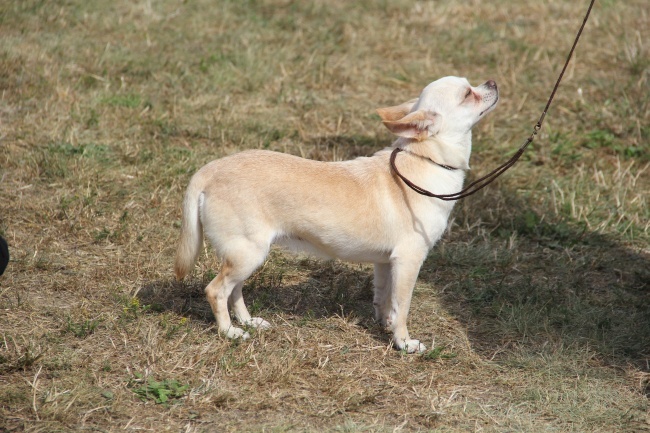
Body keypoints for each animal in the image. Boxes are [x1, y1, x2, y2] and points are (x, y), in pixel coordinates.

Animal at [172, 76, 496, 352]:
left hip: (247, 255)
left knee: (234, 290)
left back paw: (248, 321)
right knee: (216, 290)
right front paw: (404, 343)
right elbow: (402, 305)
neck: (424, 160)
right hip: (247, 253)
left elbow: (384, 298)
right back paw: (229, 332)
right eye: (468, 94)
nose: (492, 82)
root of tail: (209, 170)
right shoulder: (409, 260)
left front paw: (385, 326)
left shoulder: (386, 262)